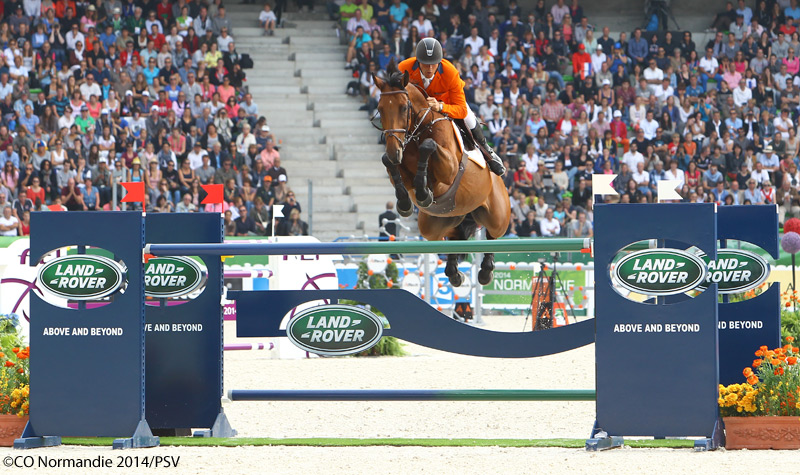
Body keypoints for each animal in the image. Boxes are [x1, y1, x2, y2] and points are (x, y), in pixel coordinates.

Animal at [370, 61, 510, 288]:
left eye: (403, 107)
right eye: (380, 109)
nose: (394, 151)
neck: (417, 131)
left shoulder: (449, 170)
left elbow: (429, 146)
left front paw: (423, 193)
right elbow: (390, 165)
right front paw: (406, 203)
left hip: (496, 215)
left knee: (493, 234)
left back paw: (485, 271)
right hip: (438, 222)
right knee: (453, 236)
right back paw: (454, 272)